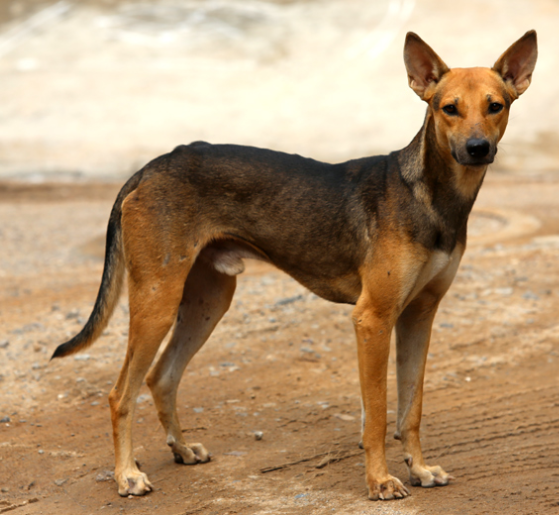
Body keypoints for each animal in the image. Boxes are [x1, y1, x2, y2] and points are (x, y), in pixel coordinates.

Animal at [52, 31, 540, 500]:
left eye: (495, 106)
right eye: (448, 109)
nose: (477, 148)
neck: (431, 197)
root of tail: (151, 166)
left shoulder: (419, 316)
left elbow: (411, 410)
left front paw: (419, 469)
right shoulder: (373, 319)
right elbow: (378, 417)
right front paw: (380, 482)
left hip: (207, 300)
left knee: (161, 377)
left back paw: (182, 449)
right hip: (157, 300)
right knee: (120, 394)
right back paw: (127, 476)